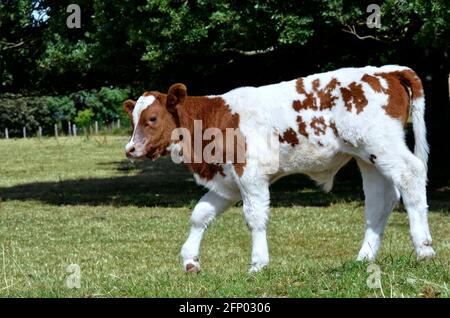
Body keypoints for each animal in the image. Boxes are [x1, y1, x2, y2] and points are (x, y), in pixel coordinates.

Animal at [123, 65, 436, 274]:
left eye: (152, 118)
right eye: (133, 119)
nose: (130, 149)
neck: (215, 117)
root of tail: (386, 70)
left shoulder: (250, 174)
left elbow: (255, 218)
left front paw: (258, 264)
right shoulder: (226, 182)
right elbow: (200, 215)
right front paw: (190, 260)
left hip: (381, 143)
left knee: (411, 174)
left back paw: (424, 250)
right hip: (366, 156)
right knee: (379, 201)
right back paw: (364, 258)